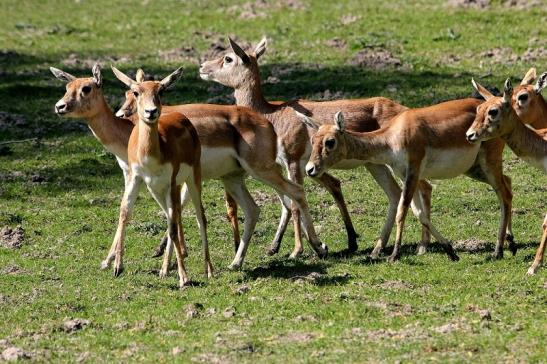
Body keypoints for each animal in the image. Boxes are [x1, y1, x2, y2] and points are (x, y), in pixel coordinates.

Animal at [112, 66, 206, 288]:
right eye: (135, 92)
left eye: (161, 91)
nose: (151, 112)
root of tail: (183, 117)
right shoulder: (137, 178)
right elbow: (124, 212)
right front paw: (117, 266)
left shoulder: (171, 183)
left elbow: (172, 227)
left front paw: (184, 277)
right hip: (158, 190)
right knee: (173, 216)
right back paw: (164, 269)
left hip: (190, 180)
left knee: (199, 217)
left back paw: (209, 270)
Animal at [302, 95, 516, 262]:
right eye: (313, 140)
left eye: (330, 142)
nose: (310, 169)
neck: (392, 136)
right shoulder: (405, 175)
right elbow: (419, 214)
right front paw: (450, 251)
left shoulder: (413, 171)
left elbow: (402, 212)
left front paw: (394, 255)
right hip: (475, 169)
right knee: (508, 183)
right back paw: (510, 244)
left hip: (488, 164)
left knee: (505, 195)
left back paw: (498, 251)